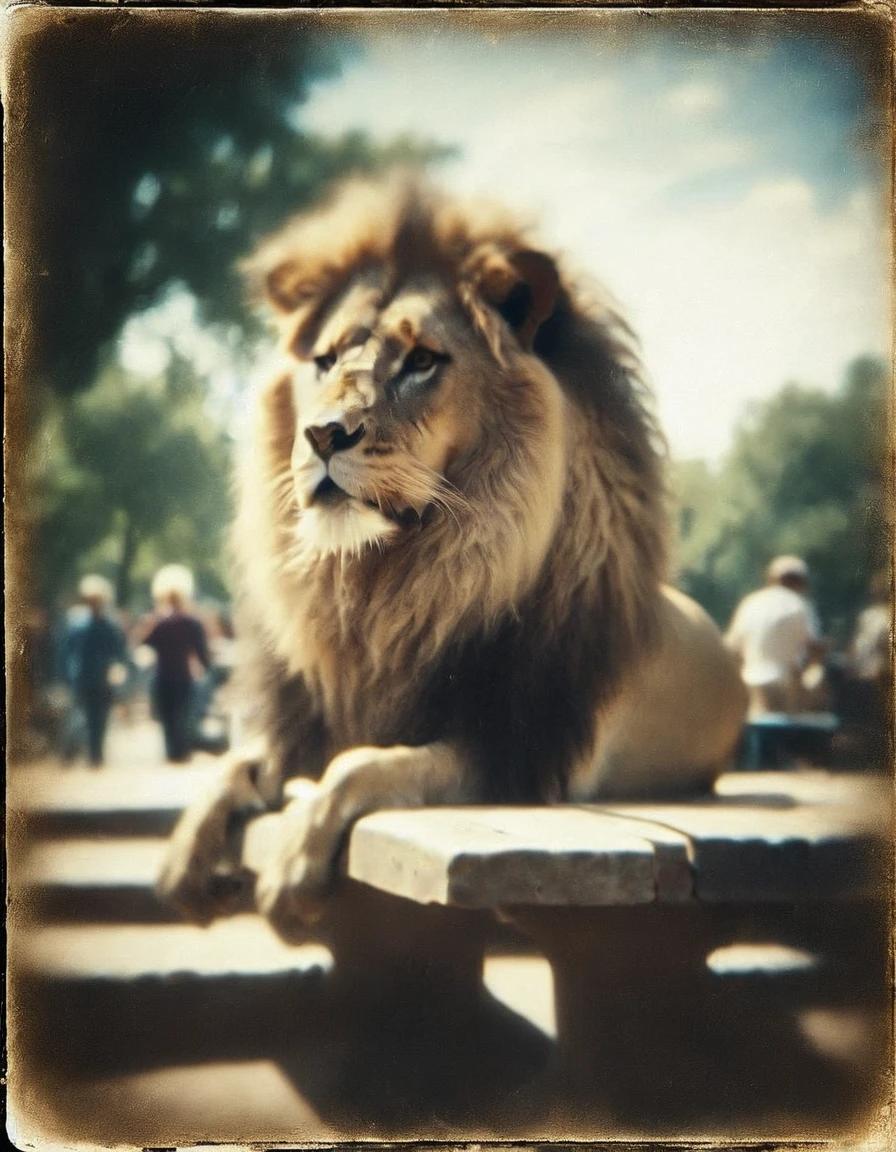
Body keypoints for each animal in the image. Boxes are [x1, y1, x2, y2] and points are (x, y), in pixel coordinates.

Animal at [156, 177, 741, 935]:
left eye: (422, 361)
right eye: (325, 361)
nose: (322, 434)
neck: (387, 590)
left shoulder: (515, 758)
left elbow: (365, 766)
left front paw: (290, 864)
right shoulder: (310, 720)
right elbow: (238, 763)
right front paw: (183, 855)